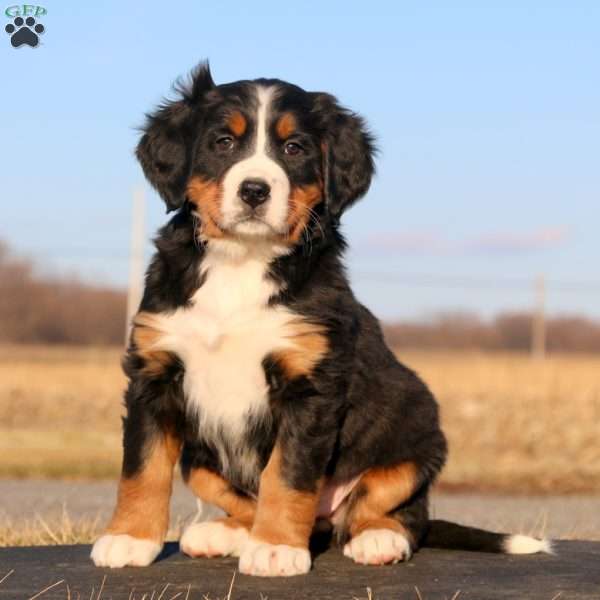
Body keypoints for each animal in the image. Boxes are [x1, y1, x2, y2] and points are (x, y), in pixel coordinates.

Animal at [91, 62, 552, 576]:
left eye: (294, 148)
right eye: (223, 142)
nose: (255, 190)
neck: (242, 260)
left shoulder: (309, 385)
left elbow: (287, 474)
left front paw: (276, 548)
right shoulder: (153, 373)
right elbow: (142, 467)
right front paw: (129, 538)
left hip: (419, 433)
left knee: (392, 509)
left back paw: (377, 538)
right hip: (199, 458)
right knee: (249, 501)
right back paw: (224, 532)